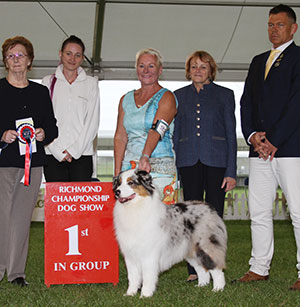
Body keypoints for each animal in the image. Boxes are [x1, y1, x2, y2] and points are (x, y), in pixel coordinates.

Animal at [112, 170, 227, 298]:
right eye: (119, 183)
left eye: (131, 183)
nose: (116, 192)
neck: (134, 208)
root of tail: (209, 208)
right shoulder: (130, 256)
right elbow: (132, 277)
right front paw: (130, 294)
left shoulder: (149, 255)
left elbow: (147, 277)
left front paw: (145, 295)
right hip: (191, 251)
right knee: (202, 269)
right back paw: (201, 285)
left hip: (205, 246)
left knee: (216, 269)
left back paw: (217, 289)